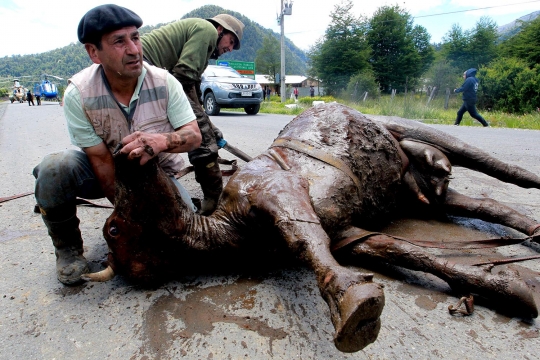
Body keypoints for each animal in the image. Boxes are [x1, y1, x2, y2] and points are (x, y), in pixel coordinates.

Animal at [83, 102, 540, 352]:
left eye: (112, 229)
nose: (126, 149)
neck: (233, 231)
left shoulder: (278, 189)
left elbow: (304, 237)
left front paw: (353, 301)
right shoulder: (352, 236)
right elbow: (410, 254)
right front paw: (509, 288)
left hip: (418, 133)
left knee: (506, 171)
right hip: (417, 194)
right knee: (485, 203)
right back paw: (531, 230)